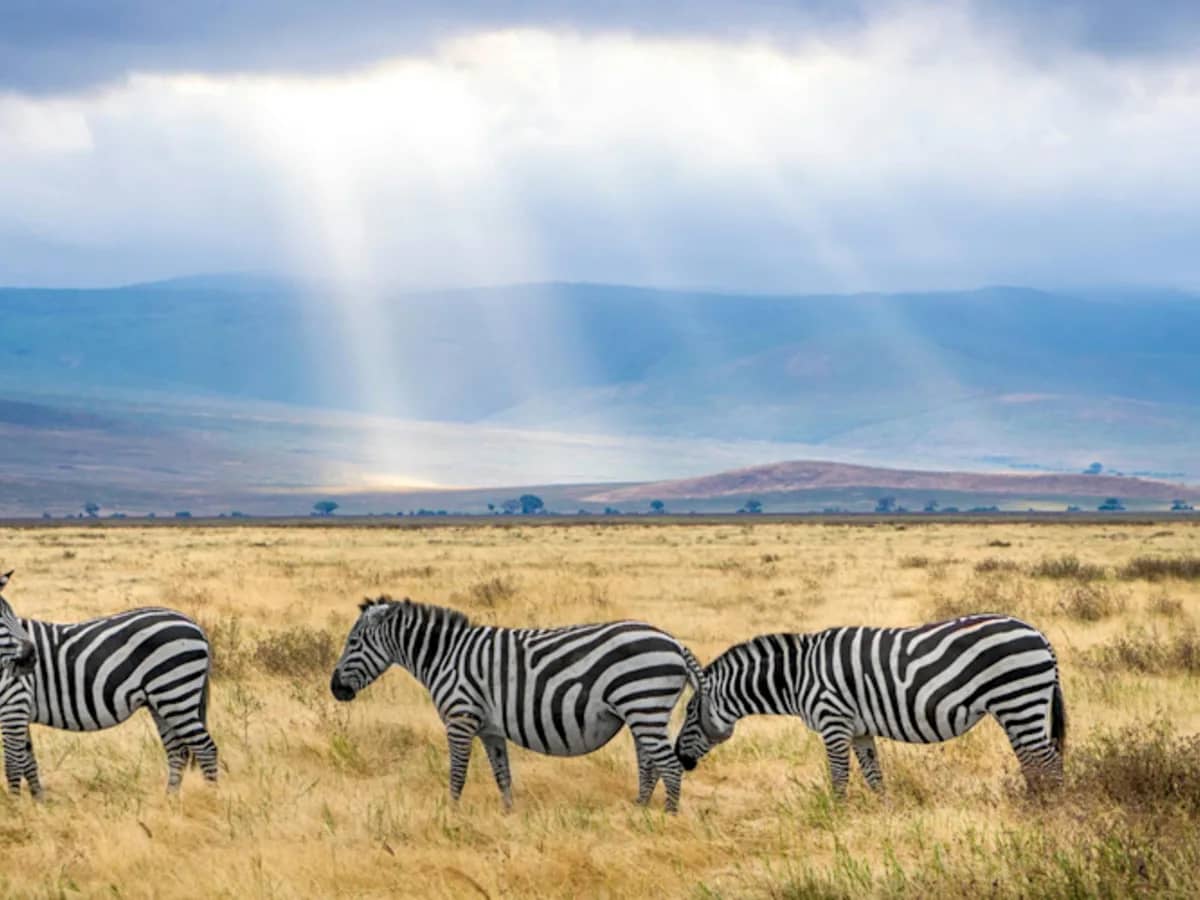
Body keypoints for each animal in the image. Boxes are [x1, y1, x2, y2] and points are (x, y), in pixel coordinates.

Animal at [0, 570, 219, 796]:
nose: (30, 657)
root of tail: (195, 624)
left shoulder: (14, 703)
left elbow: (13, 764)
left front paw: (17, 802)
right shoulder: (19, 710)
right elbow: (28, 762)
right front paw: (38, 800)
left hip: (175, 694)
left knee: (206, 749)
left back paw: (212, 796)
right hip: (162, 703)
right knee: (178, 751)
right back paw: (170, 799)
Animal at [330, 596, 712, 812]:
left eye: (352, 642)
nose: (335, 689)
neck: (444, 656)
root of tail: (673, 642)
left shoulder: (460, 718)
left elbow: (457, 772)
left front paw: (451, 814)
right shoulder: (489, 729)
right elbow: (502, 774)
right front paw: (508, 815)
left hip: (643, 705)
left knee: (669, 766)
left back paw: (667, 819)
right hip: (642, 713)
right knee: (650, 764)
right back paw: (639, 812)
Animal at [674, 614, 1066, 797]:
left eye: (690, 713)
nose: (680, 758)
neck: (798, 676)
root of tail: (1039, 634)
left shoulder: (833, 722)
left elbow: (839, 777)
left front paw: (836, 817)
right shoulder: (859, 730)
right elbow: (874, 776)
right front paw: (883, 815)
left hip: (1019, 700)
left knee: (1047, 760)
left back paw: (1049, 808)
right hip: (1018, 708)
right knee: (1034, 760)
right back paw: (1034, 802)